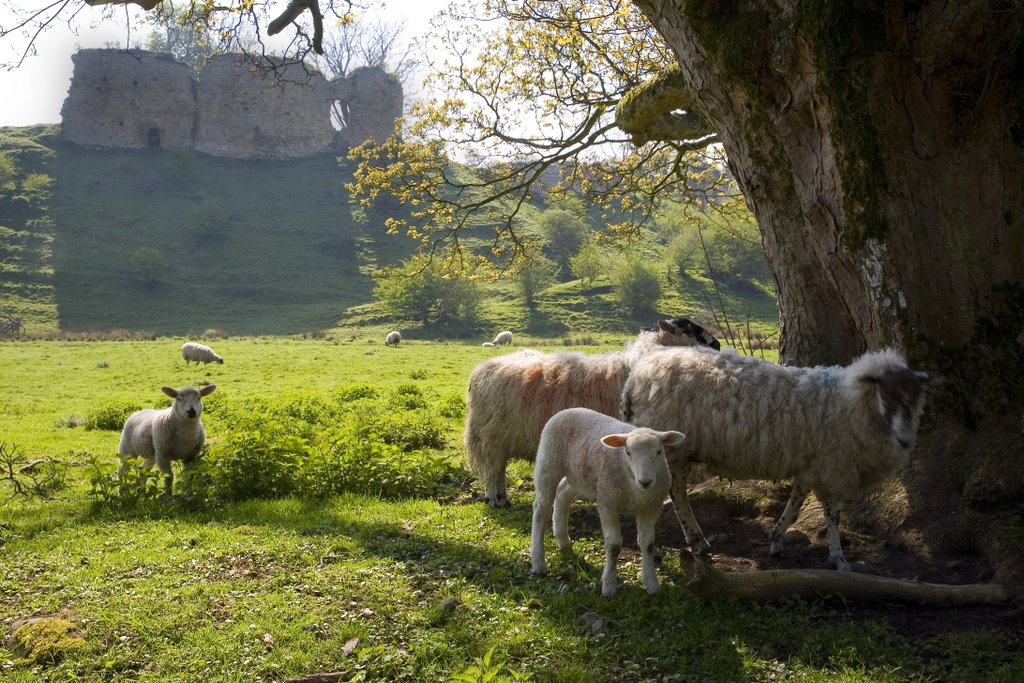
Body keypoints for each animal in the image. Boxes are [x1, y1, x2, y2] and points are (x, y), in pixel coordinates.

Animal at [466, 317, 716, 507]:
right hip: (492, 438)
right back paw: (496, 499)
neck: (634, 366)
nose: (717, 344)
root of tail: (481, 370)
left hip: (501, 439)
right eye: (691, 329)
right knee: (493, 470)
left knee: (498, 468)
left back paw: (501, 497)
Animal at [528, 409, 688, 593]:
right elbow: (613, 546)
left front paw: (652, 584)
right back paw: (538, 562)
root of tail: (569, 409)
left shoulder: (651, 508)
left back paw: (563, 541)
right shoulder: (608, 504)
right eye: (628, 453)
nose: (645, 482)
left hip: (581, 477)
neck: (637, 493)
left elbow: (647, 544)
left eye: (659, 452)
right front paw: (609, 585)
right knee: (541, 510)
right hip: (548, 463)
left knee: (562, 493)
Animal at [614, 348, 937, 573]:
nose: (905, 440)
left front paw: (777, 540)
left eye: (916, 398)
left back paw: (694, 540)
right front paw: (839, 559)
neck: (851, 404)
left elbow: (795, 504)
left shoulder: (810, 466)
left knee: (674, 493)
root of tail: (635, 376)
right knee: (675, 494)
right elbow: (832, 516)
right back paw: (690, 541)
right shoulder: (830, 465)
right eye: (886, 396)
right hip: (671, 449)